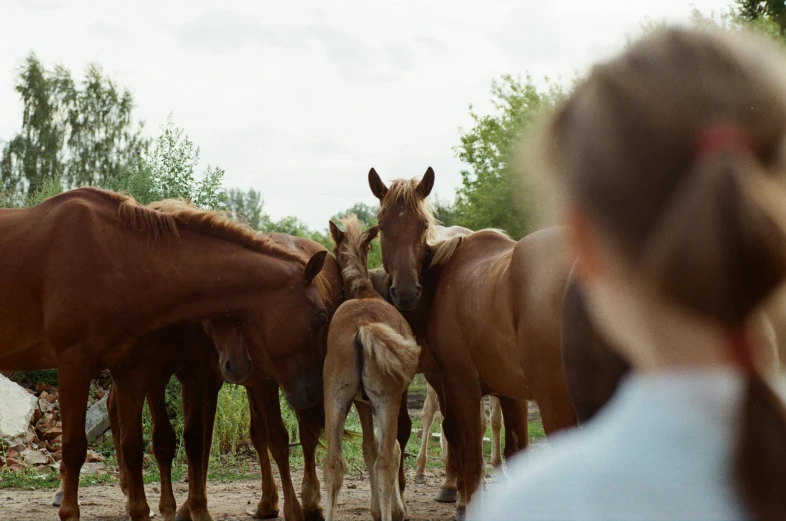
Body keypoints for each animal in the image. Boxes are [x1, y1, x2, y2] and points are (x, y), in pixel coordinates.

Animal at [0, 190, 328, 520]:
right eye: (321, 315)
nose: (313, 393)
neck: (115, 257)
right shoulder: (74, 365)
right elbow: (74, 446)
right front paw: (70, 511)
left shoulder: (130, 368)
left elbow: (134, 445)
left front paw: (141, 509)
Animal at [322, 215, 420, 520]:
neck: (364, 292)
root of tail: (364, 326)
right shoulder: (386, 400)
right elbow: (389, 448)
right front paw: (393, 509)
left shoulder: (360, 403)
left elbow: (367, 447)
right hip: (386, 400)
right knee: (385, 461)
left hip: (336, 399)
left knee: (333, 463)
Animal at [368, 169, 576, 512]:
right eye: (382, 226)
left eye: (423, 226)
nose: (407, 292)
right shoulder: (497, 389)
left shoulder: (466, 383)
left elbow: (475, 446)